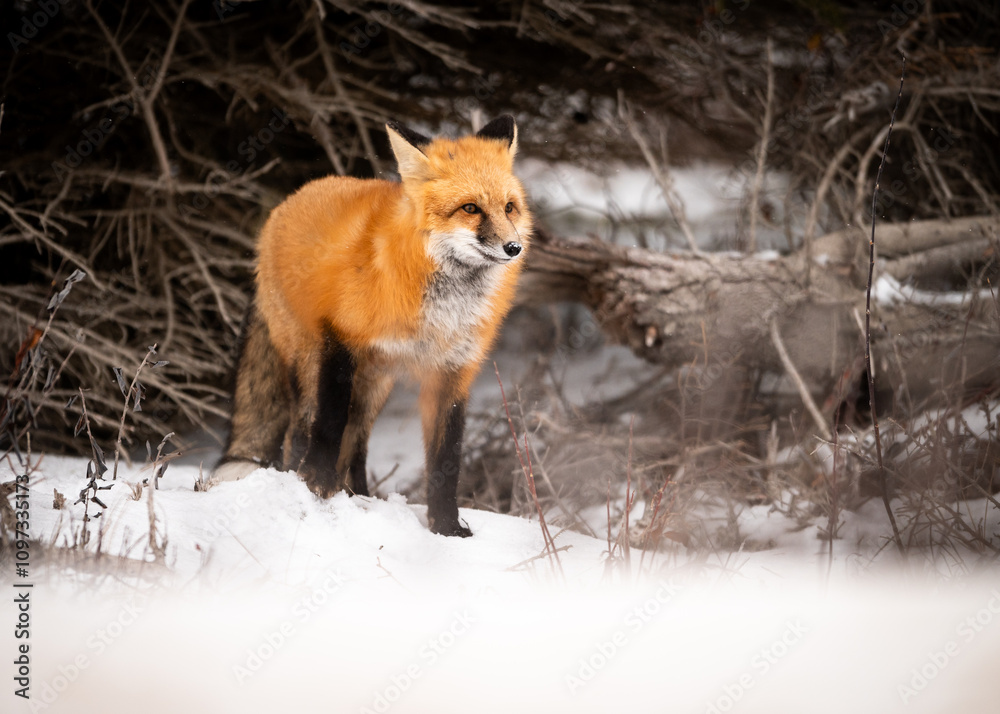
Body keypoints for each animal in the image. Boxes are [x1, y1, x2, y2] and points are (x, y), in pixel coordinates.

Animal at [213, 115, 531, 537]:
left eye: (509, 207)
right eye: (470, 208)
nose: (513, 248)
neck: (442, 311)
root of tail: (287, 203)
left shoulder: (453, 372)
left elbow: (446, 460)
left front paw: (447, 528)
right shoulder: (341, 339)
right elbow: (329, 424)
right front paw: (317, 485)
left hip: (375, 384)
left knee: (357, 445)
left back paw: (360, 497)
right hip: (311, 365)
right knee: (299, 433)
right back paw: (306, 482)